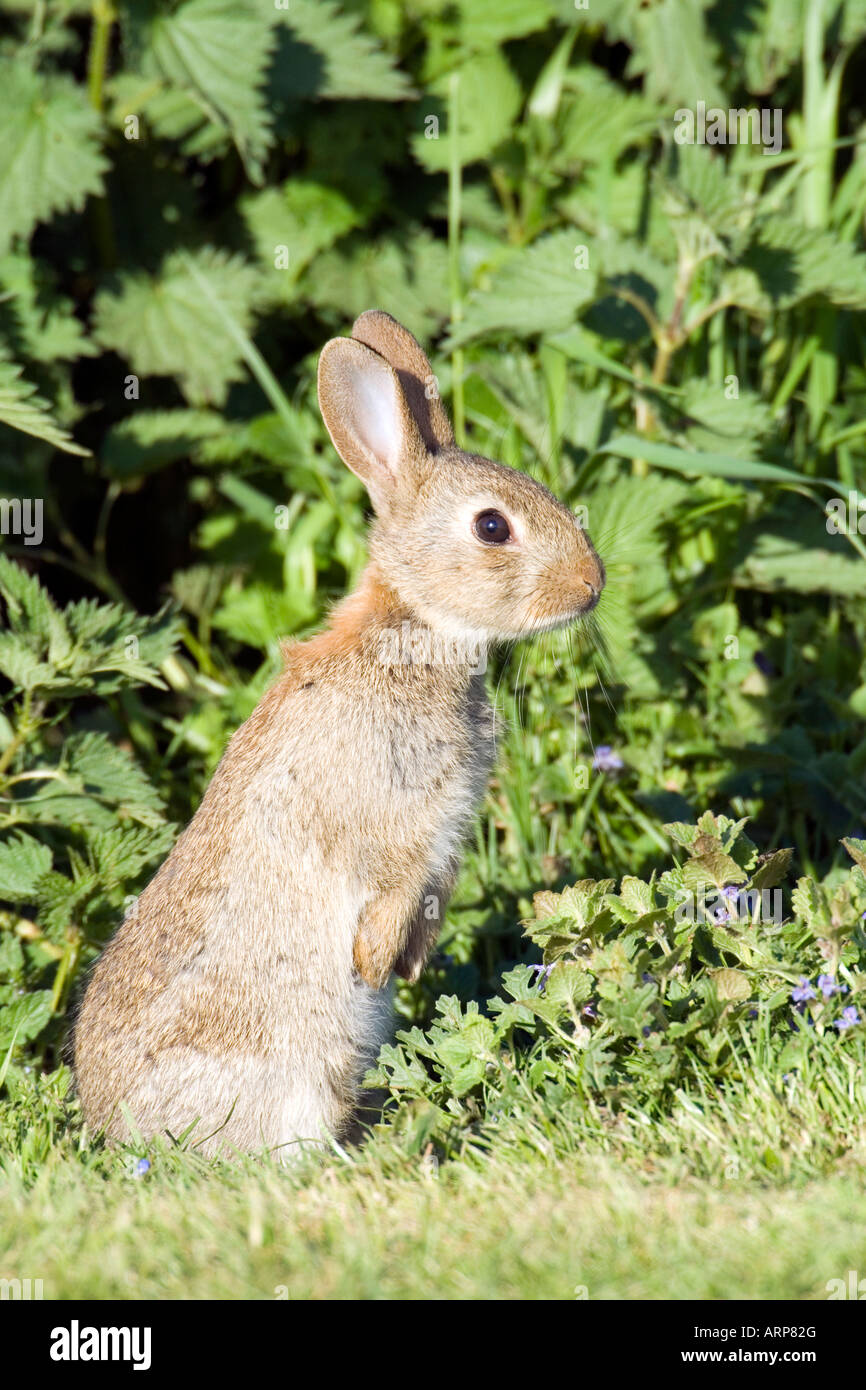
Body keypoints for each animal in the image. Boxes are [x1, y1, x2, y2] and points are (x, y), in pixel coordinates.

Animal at [73, 310, 605, 1160]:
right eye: (493, 526)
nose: (592, 586)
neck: (415, 629)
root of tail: (119, 1131)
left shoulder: (441, 844)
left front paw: (406, 968)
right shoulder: (390, 828)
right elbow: (383, 889)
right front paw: (376, 962)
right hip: (291, 1069)